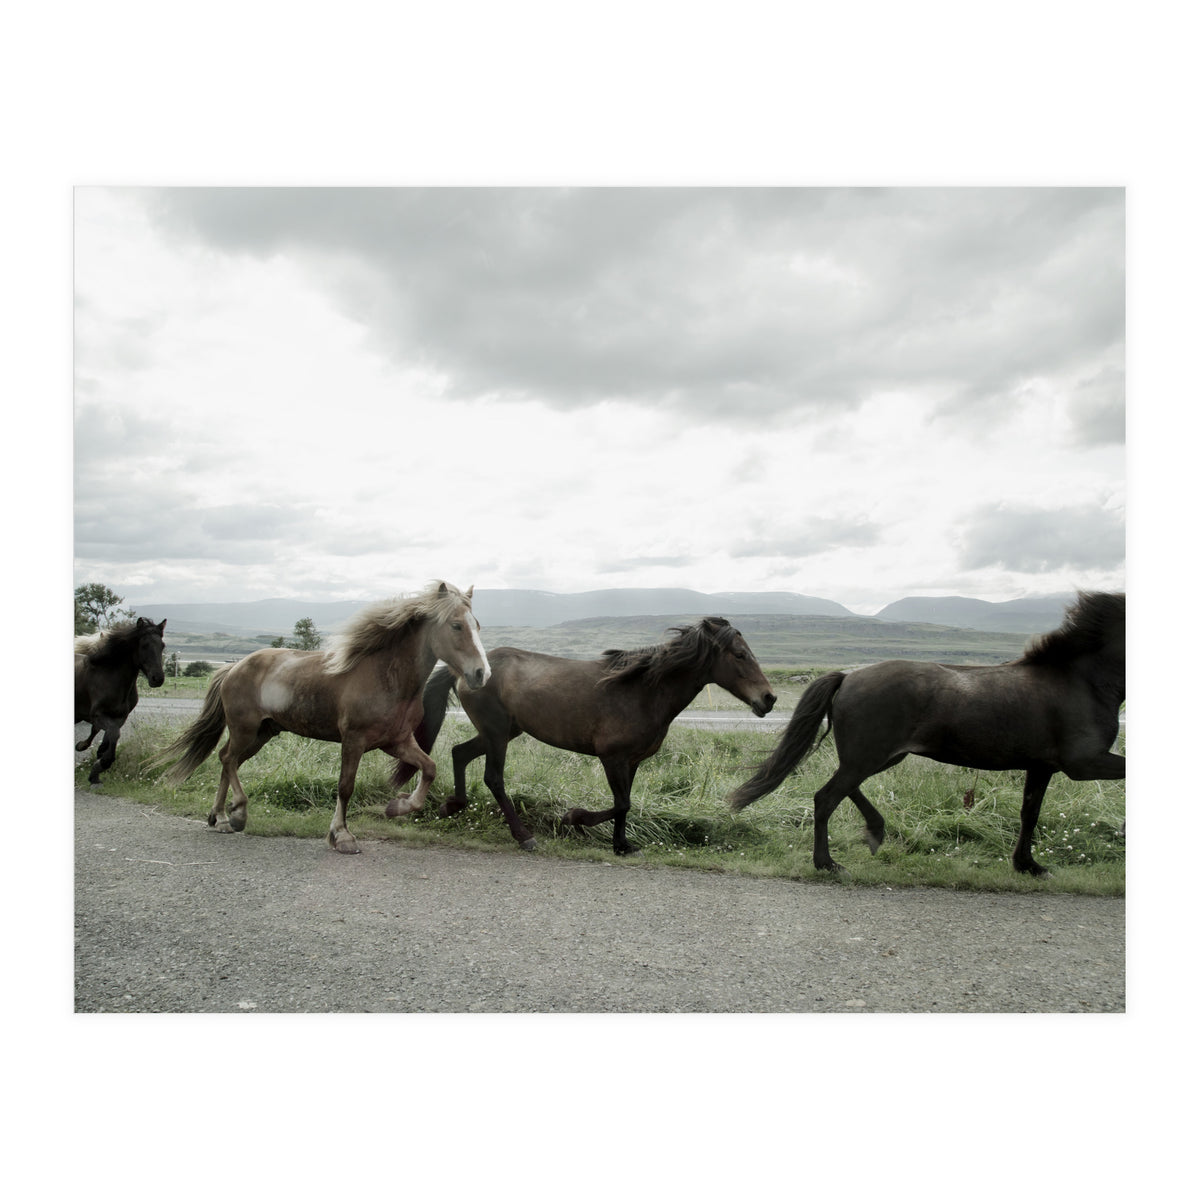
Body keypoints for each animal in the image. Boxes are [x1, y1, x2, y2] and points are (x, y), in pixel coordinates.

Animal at [75, 617, 167, 786]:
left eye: (162, 645)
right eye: (144, 645)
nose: (157, 678)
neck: (110, 677)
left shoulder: (120, 717)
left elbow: (110, 735)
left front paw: (97, 766)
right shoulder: (97, 715)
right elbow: (112, 733)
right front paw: (101, 764)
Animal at [156, 582, 490, 855]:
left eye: (478, 625)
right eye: (456, 625)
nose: (481, 674)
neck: (386, 677)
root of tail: (233, 667)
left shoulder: (397, 742)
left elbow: (430, 769)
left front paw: (396, 807)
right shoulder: (353, 740)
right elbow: (345, 786)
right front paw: (341, 836)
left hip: (262, 733)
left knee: (229, 761)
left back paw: (220, 817)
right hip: (245, 728)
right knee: (227, 759)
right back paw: (236, 814)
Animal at [410, 617, 777, 855]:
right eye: (740, 654)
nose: (768, 699)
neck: (642, 690)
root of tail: (468, 670)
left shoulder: (632, 762)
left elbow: (625, 804)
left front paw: (622, 845)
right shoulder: (612, 758)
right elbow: (621, 803)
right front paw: (574, 818)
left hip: (503, 731)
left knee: (459, 753)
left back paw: (452, 806)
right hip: (497, 734)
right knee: (493, 778)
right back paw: (524, 836)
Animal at [727, 591, 1125, 876]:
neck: (1080, 681)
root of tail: (849, 676)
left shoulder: (1042, 766)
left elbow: (1030, 813)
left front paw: (1028, 865)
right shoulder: (1084, 763)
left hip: (877, 756)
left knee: (844, 789)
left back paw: (874, 831)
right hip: (869, 756)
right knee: (826, 797)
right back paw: (828, 863)